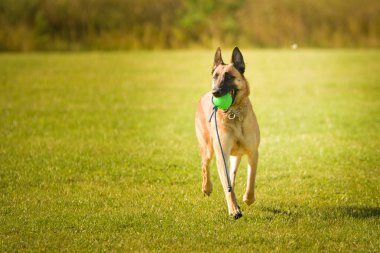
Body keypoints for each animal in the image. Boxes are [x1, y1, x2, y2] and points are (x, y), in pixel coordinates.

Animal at [194, 48, 260, 219]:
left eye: (229, 76)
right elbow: (227, 187)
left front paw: (248, 198)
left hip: (235, 156)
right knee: (205, 165)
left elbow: (251, 179)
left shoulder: (253, 153)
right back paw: (207, 188)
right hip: (208, 148)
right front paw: (234, 209)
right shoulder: (221, 154)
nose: (215, 92)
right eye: (215, 76)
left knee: (232, 175)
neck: (233, 114)